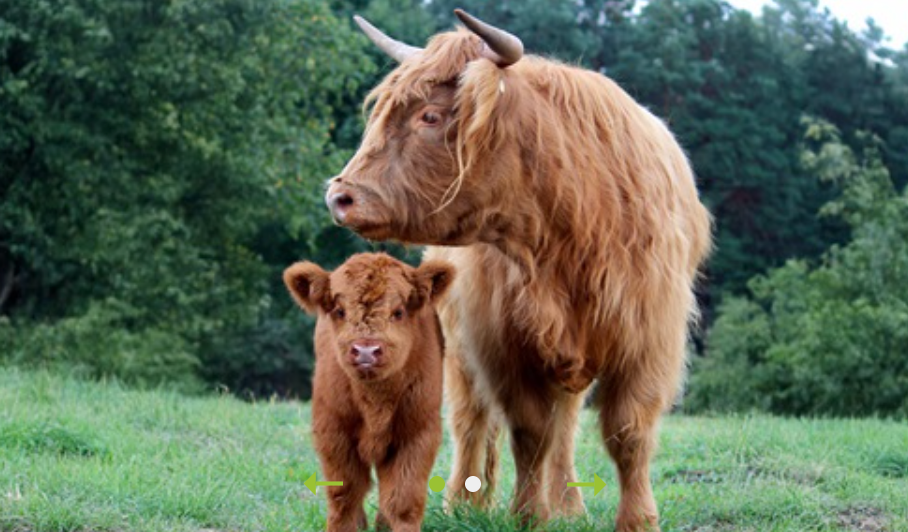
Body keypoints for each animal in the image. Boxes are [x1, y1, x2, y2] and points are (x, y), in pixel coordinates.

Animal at [284, 253, 455, 532]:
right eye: (340, 311)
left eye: (398, 312)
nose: (366, 351)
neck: (375, 402)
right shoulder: (333, 430)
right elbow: (345, 494)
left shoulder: (419, 431)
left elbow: (403, 498)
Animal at [324, 10, 712, 532]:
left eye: (430, 116)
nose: (339, 196)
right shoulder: (503, 342)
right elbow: (529, 431)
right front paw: (527, 514)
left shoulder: (648, 339)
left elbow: (627, 432)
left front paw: (637, 519)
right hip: (458, 344)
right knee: (471, 421)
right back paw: (463, 503)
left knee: (566, 420)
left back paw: (569, 505)